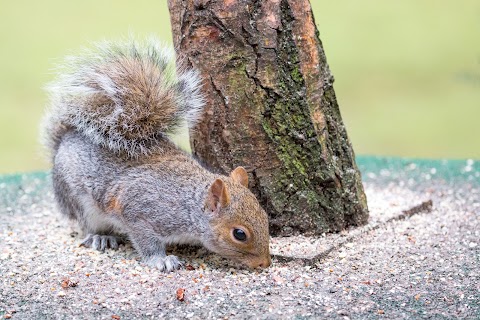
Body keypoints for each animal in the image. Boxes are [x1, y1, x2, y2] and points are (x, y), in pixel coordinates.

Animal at [41, 38, 270, 272]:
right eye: (239, 234)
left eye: (265, 217)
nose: (265, 263)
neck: (190, 206)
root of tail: (65, 139)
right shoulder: (139, 212)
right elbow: (146, 241)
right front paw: (161, 259)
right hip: (77, 197)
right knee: (87, 222)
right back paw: (100, 236)